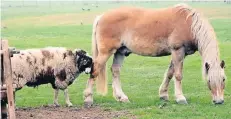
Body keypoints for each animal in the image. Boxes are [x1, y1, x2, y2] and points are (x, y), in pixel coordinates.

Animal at [82, 3, 226, 107]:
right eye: (209, 80)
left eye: (224, 79)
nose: (219, 101)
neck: (189, 24)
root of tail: (101, 16)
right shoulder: (178, 51)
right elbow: (178, 75)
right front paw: (180, 98)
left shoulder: (179, 54)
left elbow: (170, 73)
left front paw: (163, 95)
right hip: (106, 52)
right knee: (95, 70)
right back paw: (88, 99)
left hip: (120, 52)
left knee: (115, 71)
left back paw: (122, 97)